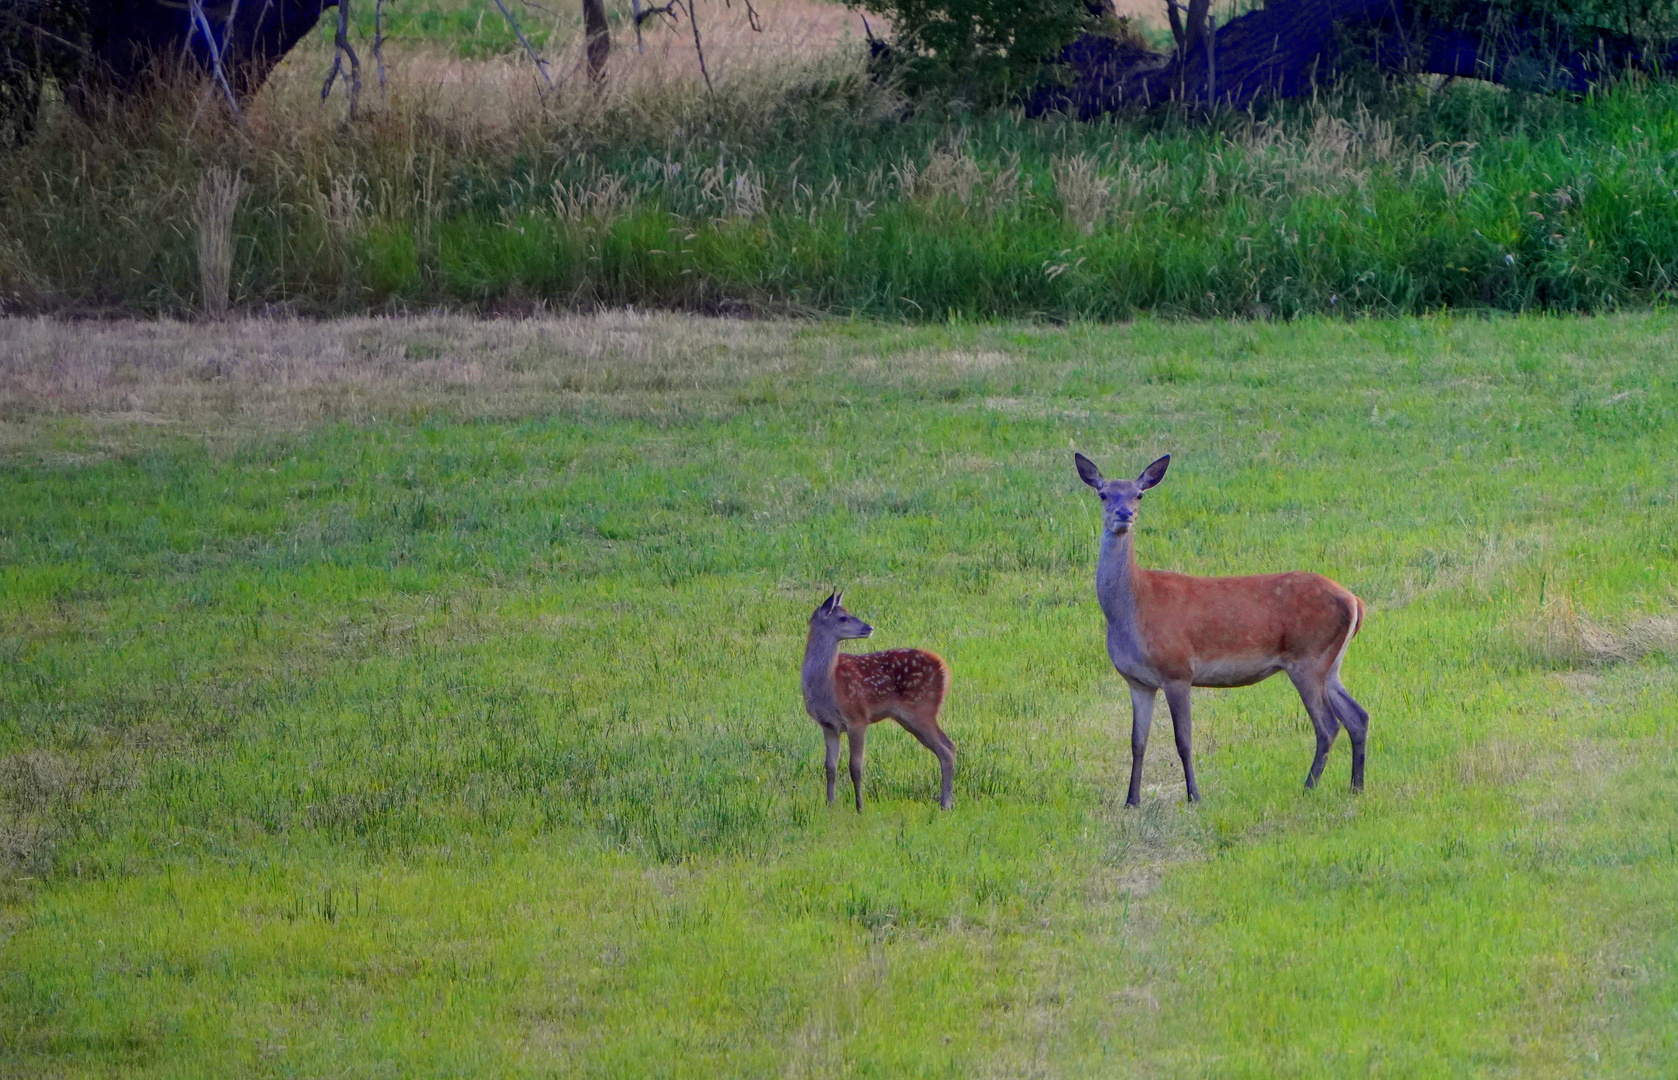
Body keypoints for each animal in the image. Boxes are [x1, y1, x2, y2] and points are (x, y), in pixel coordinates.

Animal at [1080, 452, 1369, 804]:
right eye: (1103, 494)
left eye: (1139, 495)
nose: (1125, 514)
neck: (1132, 610)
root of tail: (1355, 601)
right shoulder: (1138, 681)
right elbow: (1137, 742)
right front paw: (1131, 801)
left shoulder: (1178, 670)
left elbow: (1183, 740)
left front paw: (1194, 797)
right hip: (1330, 663)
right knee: (1357, 716)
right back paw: (1355, 787)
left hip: (1308, 658)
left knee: (1328, 725)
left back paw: (1308, 788)